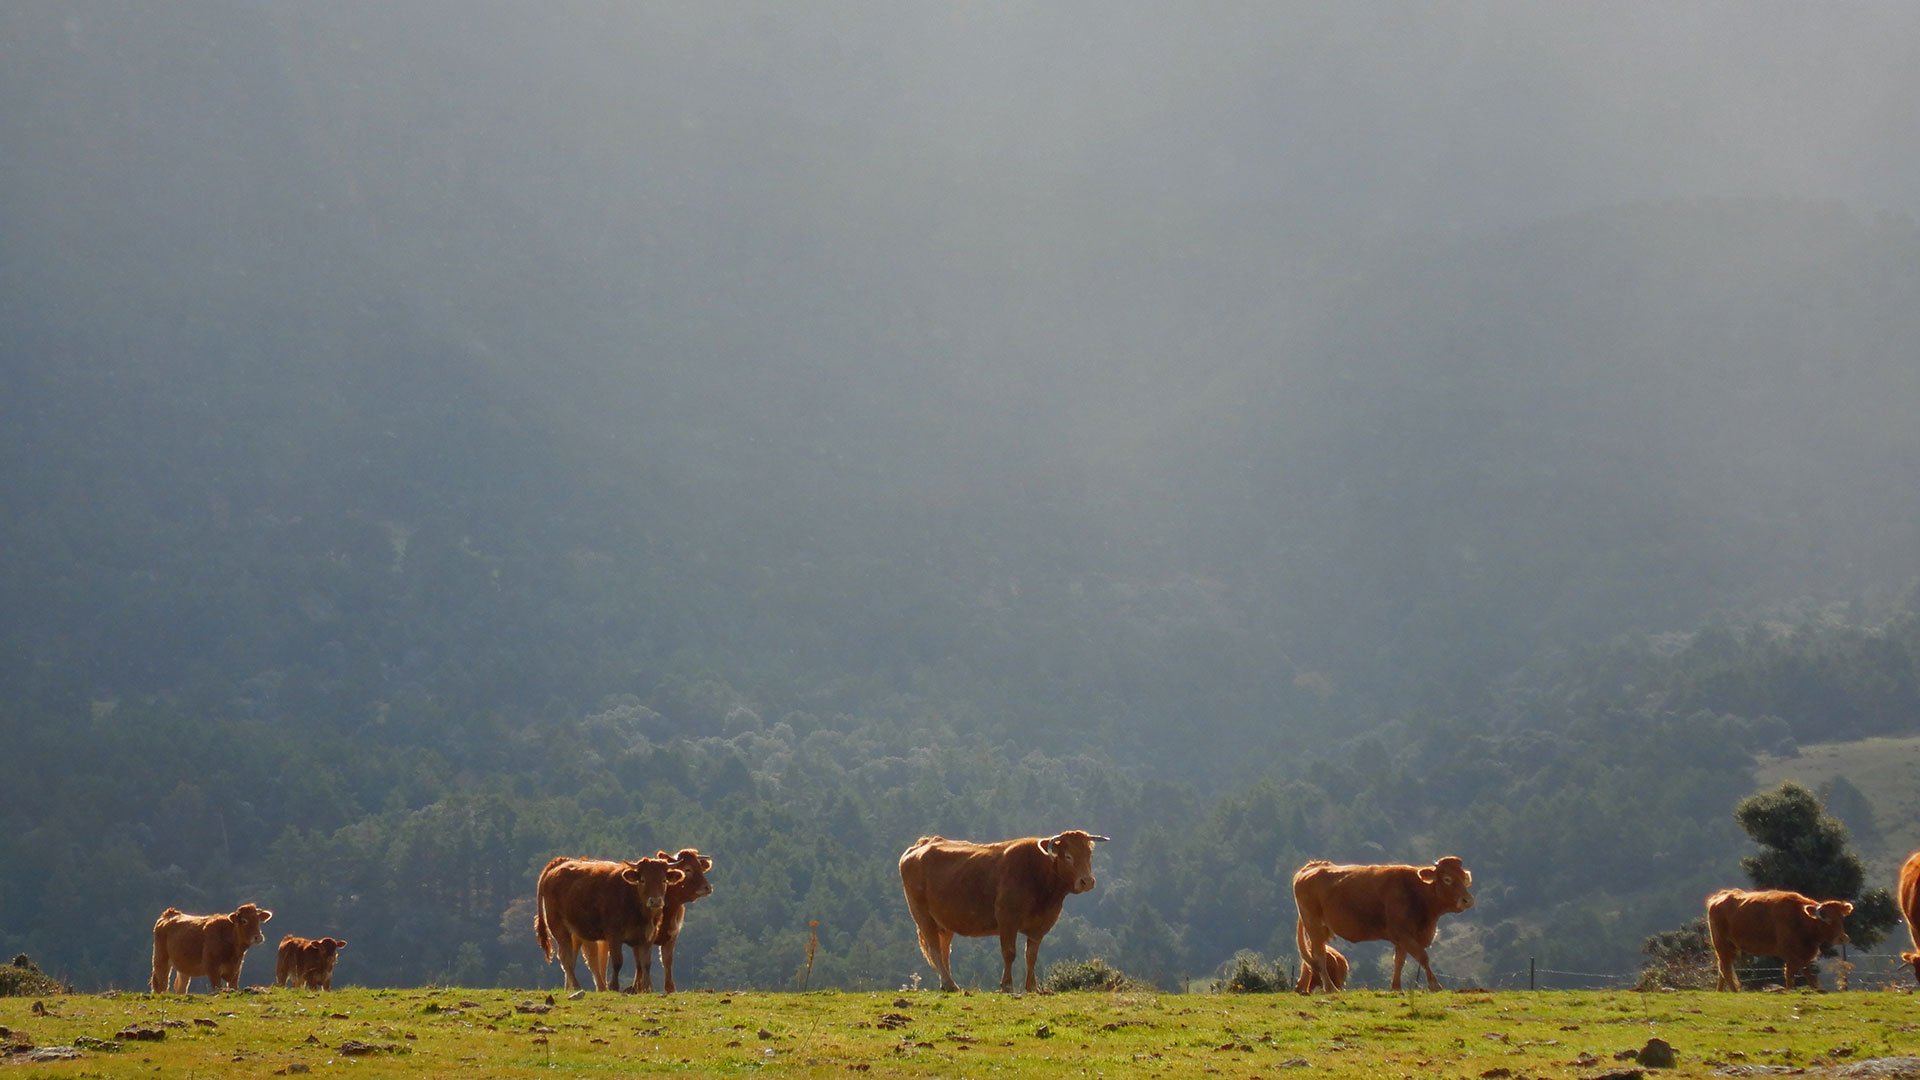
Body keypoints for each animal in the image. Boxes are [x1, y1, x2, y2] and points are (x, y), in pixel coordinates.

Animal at [537, 853, 687, 991]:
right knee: (565, 958)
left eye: (664, 880)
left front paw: (647, 988)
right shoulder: (614, 935)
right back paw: (577, 986)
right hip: (558, 927)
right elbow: (617, 961)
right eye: (643, 880)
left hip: (575, 931)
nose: (655, 901)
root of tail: (557, 865)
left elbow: (646, 963)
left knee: (570, 957)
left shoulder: (648, 936)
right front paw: (614, 986)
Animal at [595, 845, 718, 991]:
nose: (707, 887)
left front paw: (670, 988)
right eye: (687, 869)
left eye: (700, 867)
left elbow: (667, 961)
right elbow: (640, 963)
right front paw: (639, 988)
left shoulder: (672, 935)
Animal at [898, 826, 1113, 991]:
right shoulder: (1007, 920)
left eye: (1089, 854)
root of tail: (923, 844)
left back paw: (947, 984)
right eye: (1068, 856)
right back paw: (951, 985)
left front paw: (1032, 987)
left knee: (944, 951)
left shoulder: (1041, 925)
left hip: (945, 921)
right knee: (934, 948)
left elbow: (1031, 956)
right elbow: (1009, 953)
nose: (1087, 881)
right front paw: (1007, 985)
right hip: (923, 916)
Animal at [1297, 853, 1474, 991]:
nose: (1467, 900)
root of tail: (1313, 865)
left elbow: (1399, 961)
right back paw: (1330, 988)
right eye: (1447, 879)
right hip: (1313, 925)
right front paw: (1434, 985)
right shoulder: (1403, 933)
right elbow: (1422, 957)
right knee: (1319, 954)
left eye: (1464, 878)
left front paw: (1396, 987)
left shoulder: (1403, 938)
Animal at [1704, 887, 1850, 991]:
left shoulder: (1798, 954)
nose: (1842, 938)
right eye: (1826, 919)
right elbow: (1804, 971)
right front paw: (1816, 989)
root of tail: (1720, 896)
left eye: (1841, 918)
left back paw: (1720, 991)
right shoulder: (1789, 952)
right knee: (1726, 969)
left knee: (1723, 968)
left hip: (1730, 948)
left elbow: (1791, 974)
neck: (1800, 918)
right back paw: (1734, 991)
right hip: (1722, 944)